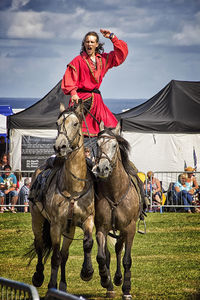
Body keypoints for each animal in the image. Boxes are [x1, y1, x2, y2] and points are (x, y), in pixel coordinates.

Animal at [28, 102, 94, 292]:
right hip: (37, 219)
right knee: (40, 246)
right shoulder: (56, 225)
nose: (60, 147)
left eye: (76, 123)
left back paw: (63, 285)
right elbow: (55, 256)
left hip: (69, 229)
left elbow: (87, 243)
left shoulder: (87, 219)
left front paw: (87, 272)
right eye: (57, 124)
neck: (74, 187)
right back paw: (39, 277)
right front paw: (51, 285)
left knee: (64, 254)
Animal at [93, 120, 139, 298]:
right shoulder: (101, 227)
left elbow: (126, 259)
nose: (102, 168)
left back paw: (119, 279)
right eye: (97, 144)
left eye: (114, 145)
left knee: (120, 249)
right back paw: (112, 283)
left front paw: (126, 289)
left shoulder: (130, 228)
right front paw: (106, 281)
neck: (115, 192)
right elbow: (101, 257)